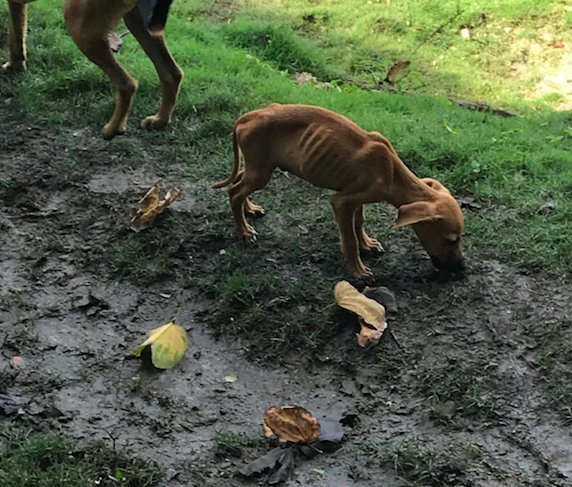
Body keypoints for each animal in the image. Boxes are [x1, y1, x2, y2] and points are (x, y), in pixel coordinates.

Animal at [2, 0, 181, 139]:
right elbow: (16, 35)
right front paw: (15, 67)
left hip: (79, 24)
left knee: (127, 84)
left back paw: (113, 128)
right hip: (138, 22)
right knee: (172, 73)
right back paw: (160, 120)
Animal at [214, 104, 464, 278]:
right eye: (451, 240)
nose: (461, 268)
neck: (392, 173)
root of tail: (247, 117)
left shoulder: (355, 199)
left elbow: (359, 223)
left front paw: (367, 244)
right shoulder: (342, 202)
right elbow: (349, 239)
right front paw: (357, 270)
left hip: (257, 167)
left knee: (239, 182)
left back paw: (249, 210)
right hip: (260, 171)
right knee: (235, 192)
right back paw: (244, 231)